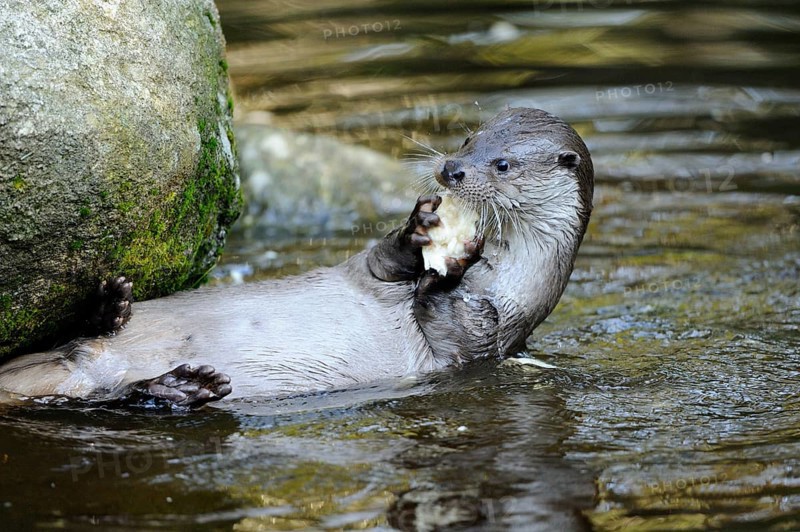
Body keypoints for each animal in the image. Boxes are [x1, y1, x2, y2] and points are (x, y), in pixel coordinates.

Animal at [0, 108, 593, 408]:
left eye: (503, 163)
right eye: (470, 137)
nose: (451, 169)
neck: (501, 286)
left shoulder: (485, 339)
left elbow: (453, 330)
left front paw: (445, 275)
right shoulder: (366, 271)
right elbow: (382, 260)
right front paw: (417, 230)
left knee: (115, 392)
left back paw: (181, 386)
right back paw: (115, 310)